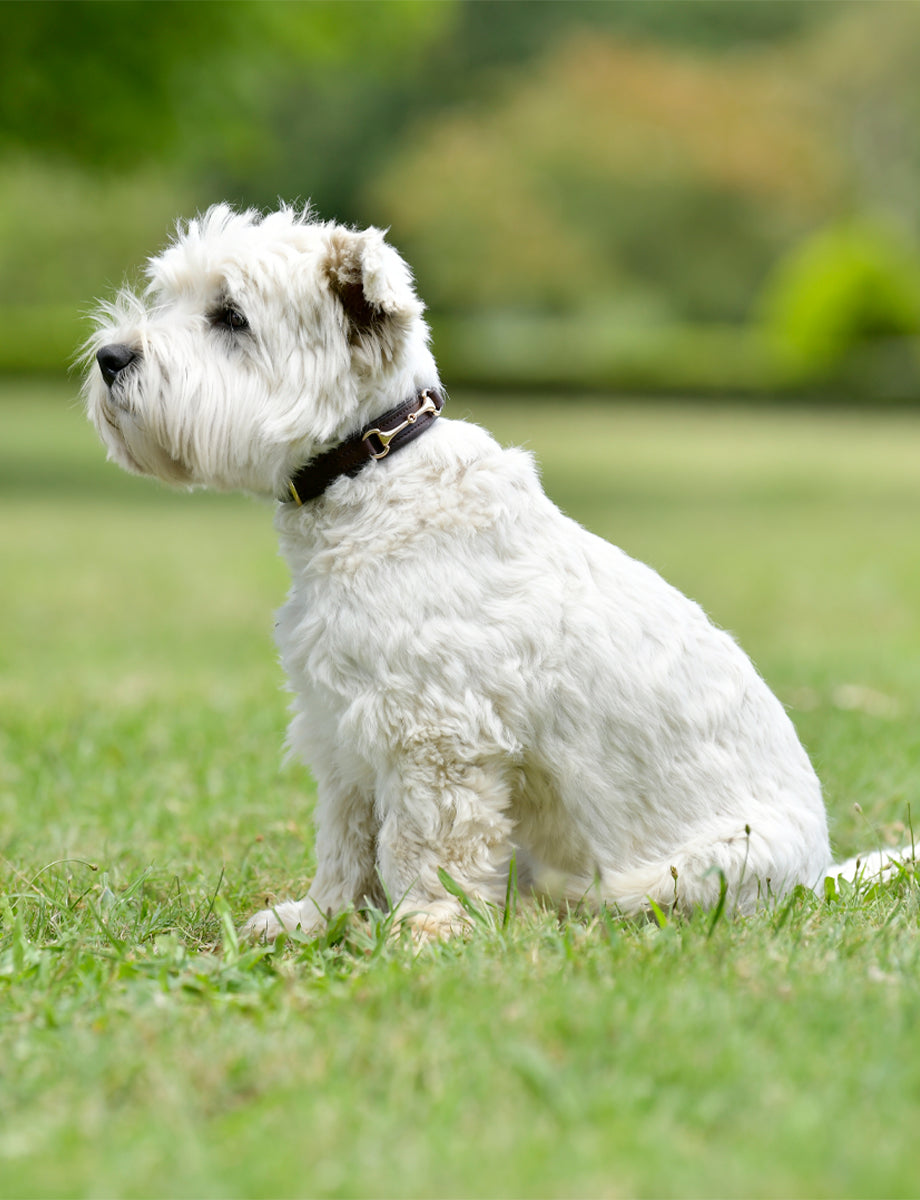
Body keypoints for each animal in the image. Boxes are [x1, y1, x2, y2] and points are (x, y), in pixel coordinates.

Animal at [82, 204, 911, 936]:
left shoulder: (438, 736)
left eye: (230, 316)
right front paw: (318, 919)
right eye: (169, 294)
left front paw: (428, 926)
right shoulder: (341, 728)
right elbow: (346, 841)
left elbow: (424, 846)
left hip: (706, 865)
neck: (371, 473)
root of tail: (819, 874)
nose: (110, 358)